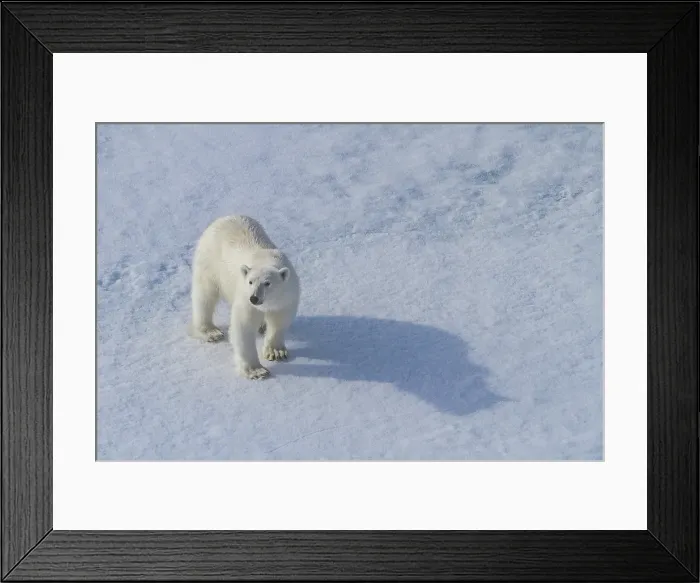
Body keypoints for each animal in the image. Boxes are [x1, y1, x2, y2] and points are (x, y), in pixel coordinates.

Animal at [188, 215, 300, 380]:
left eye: (267, 283)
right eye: (250, 282)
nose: (254, 298)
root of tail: (223, 218)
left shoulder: (286, 296)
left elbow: (280, 320)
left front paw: (276, 352)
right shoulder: (245, 299)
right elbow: (243, 326)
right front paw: (257, 370)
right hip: (209, 262)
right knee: (205, 295)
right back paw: (211, 331)